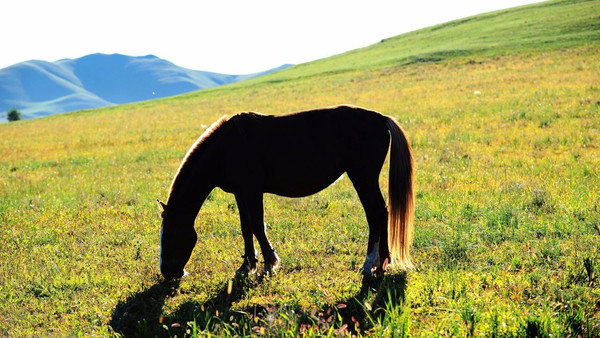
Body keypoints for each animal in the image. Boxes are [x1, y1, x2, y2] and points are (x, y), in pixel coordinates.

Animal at [157, 105, 414, 280]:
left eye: (168, 236)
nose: (167, 273)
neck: (226, 148)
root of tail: (381, 119)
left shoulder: (252, 191)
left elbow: (257, 225)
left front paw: (270, 262)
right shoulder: (240, 193)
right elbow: (246, 227)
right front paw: (247, 265)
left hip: (363, 177)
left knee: (375, 213)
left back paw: (369, 263)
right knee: (383, 213)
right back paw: (383, 262)